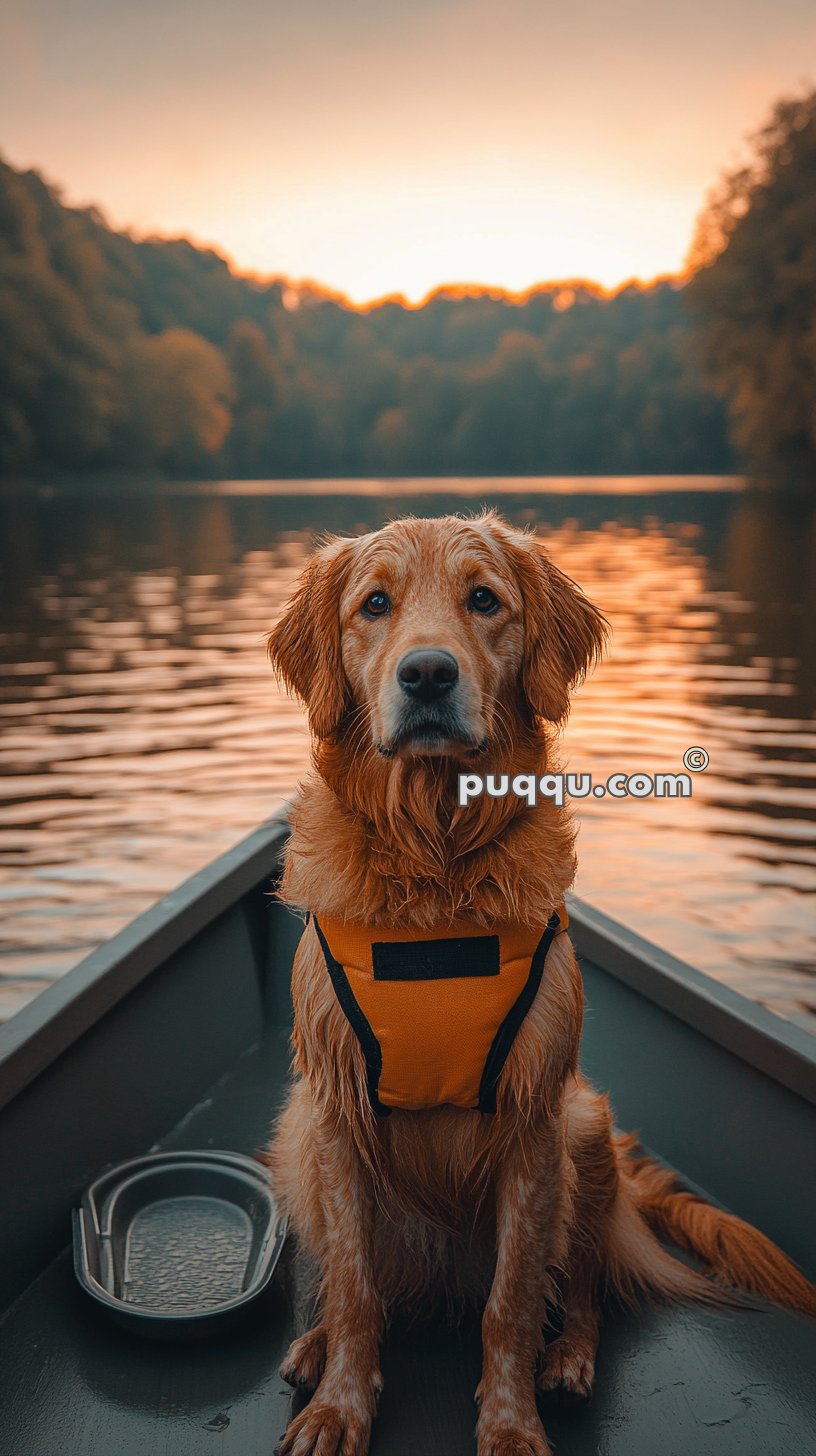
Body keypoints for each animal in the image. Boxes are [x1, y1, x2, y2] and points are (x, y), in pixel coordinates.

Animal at [265, 512, 810, 1456]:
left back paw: (571, 1361)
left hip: (585, 1133)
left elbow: (513, 1300)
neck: (435, 868)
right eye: (375, 605)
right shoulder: (334, 1114)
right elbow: (357, 1286)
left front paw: (513, 1424)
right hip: (298, 1136)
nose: (428, 673)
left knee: (582, 1282)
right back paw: (316, 1341)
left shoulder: (531, 1122)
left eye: (484, 600)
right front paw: (338, 1406)